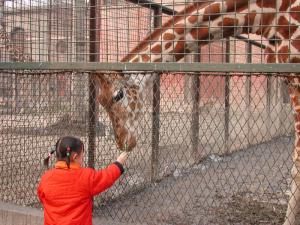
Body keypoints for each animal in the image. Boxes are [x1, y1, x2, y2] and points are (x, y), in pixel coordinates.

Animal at [92, 0, 300, 224]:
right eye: (100, 101)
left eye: (118, 95)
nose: (124, 142)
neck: (267, 17)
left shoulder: (296, 78)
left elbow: (297, 166)